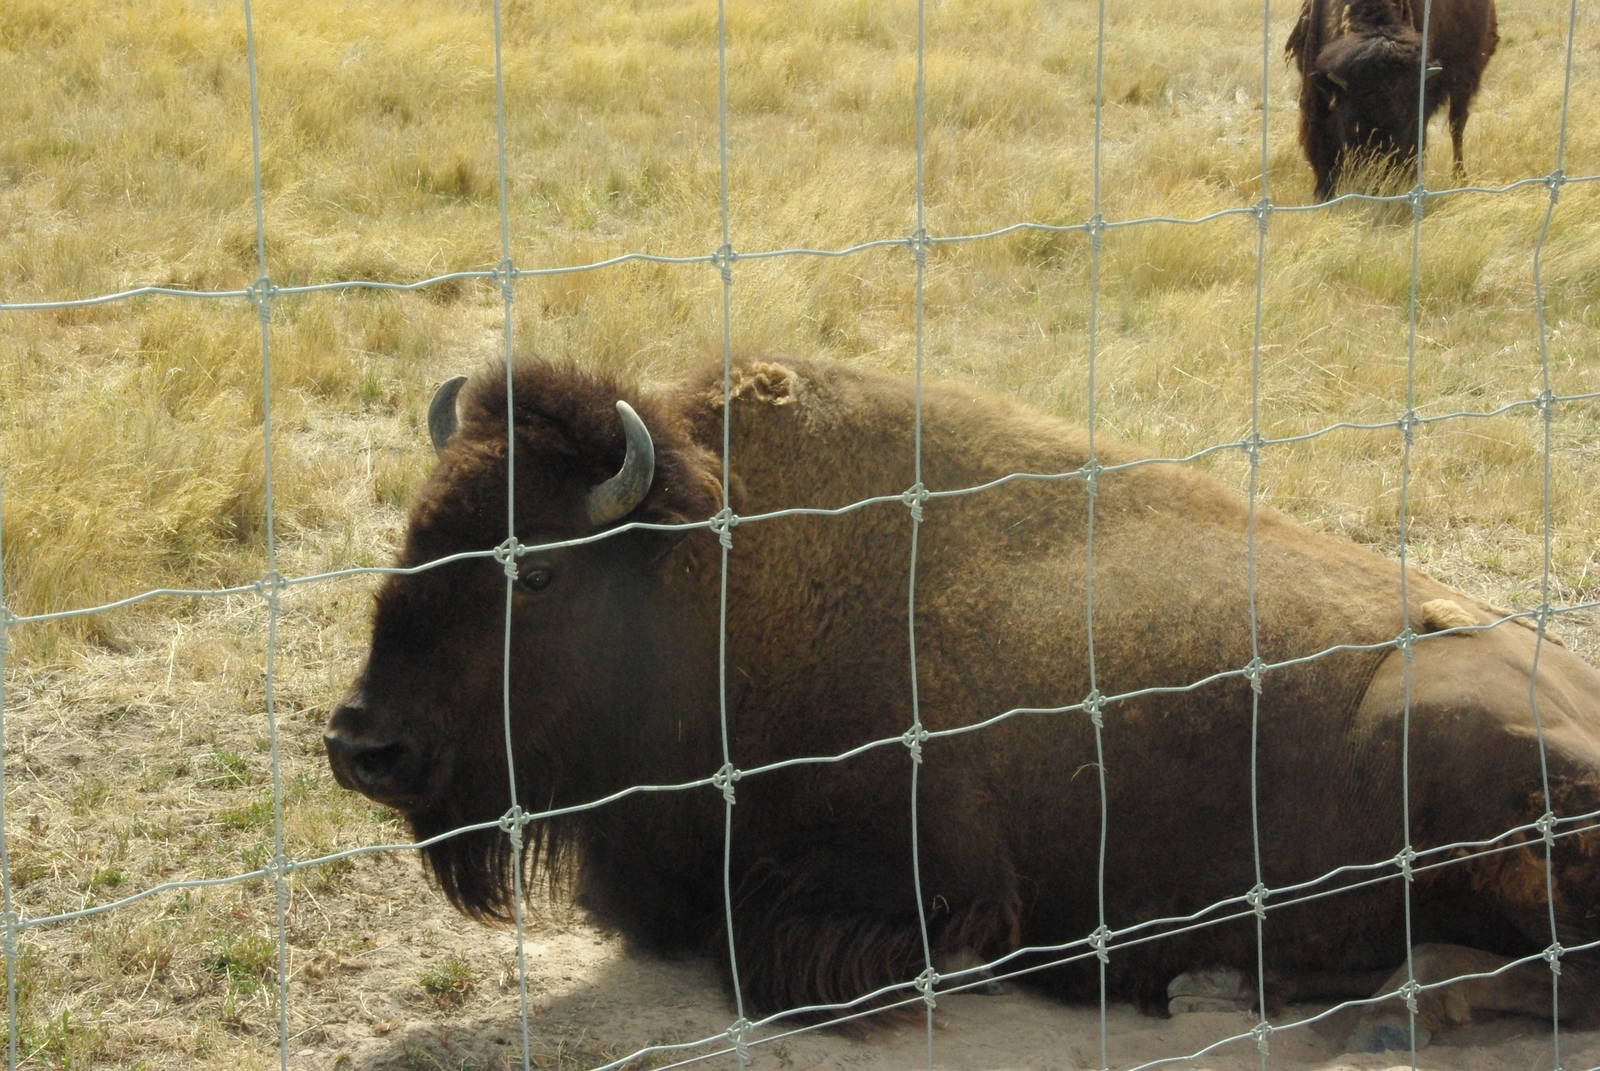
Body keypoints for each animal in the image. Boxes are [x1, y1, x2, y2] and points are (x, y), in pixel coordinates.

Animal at [326, 356, 1599, 1050]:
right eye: (411, 535)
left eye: (533, 572)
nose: (361, 744)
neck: (709, 578)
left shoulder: (921, 892)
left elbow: (769, 952)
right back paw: (1218, 982)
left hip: (1440, 745)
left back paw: (1334, 1003)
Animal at [1287, 0, 1498, 201]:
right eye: (1352, 119)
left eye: (1408, 118)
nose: (1378, 173)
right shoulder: (1315, 94)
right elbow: (1321, 145)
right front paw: (1323, 194)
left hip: (1465, 81)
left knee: (1457, 126)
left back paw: (1459, 177)